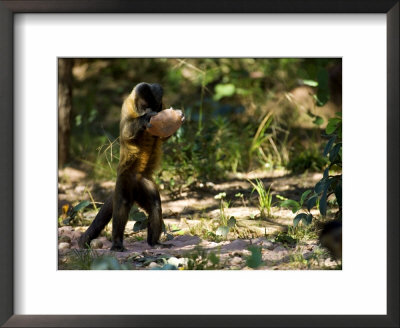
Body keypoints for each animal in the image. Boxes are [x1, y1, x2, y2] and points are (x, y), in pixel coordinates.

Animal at [78, 82, 170, 251]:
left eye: (152, 105)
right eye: (144, 106)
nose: (148, 111)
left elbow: (164, 135)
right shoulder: (127, 106)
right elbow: (127, 133)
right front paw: (145, 118)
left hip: (142, 183)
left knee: (155, 206)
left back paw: (154, 243)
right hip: (125, 178)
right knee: (123, 204)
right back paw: (117, 243)